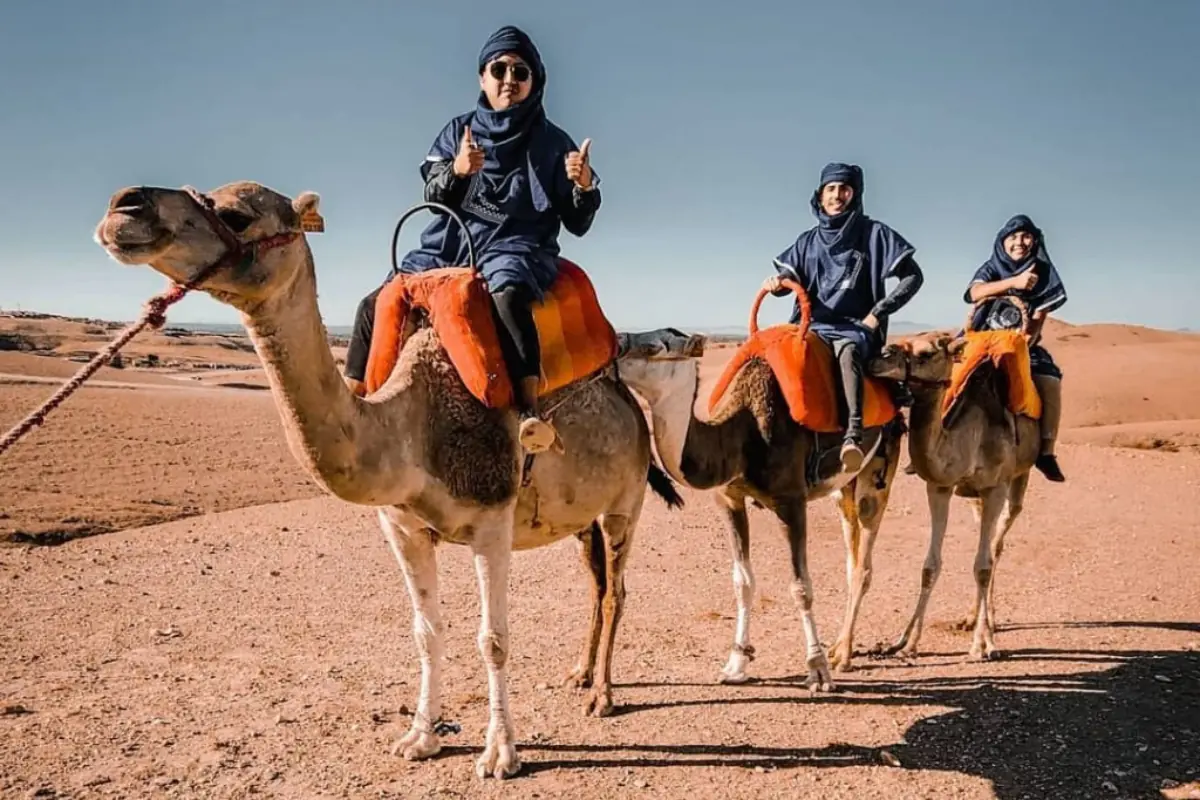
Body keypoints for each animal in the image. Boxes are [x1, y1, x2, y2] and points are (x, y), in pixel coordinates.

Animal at [92, 180, 687, 780]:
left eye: (236, 215)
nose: (125, 206)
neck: (413, 426)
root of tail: (626, 393)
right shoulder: (402, 526)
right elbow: (426, 633)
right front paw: (420, 737)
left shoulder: (493, 520)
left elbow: (493, 639)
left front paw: (500, 753)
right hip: (581, 516)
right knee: (596, 583)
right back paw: (580, 674)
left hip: (625, 499)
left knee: (616, 590)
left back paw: (603, 695)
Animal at [618, 314, 906, 689]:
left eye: (653, 347)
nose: (615, 343)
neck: (743, 432)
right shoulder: (729, 498)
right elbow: (742, 581)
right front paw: (735, 664)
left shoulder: (790, 500)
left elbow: (800, 586)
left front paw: (817, 669)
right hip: (843, 486)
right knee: (851, 551)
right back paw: (843, 647)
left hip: (880, 466)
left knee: (865, 556)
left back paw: (844, 655)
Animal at [868, 330, 1040, 661]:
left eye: (925, 354)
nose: (879, 356)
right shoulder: (940, 487)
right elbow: (930, 566)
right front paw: (906, 642)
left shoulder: (995, 486)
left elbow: (983, 567)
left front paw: (982, 645)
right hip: (974, 497)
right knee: (987, 539)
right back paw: (974, 618)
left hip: (1017, 478)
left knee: (997, 543)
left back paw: (988, 626)